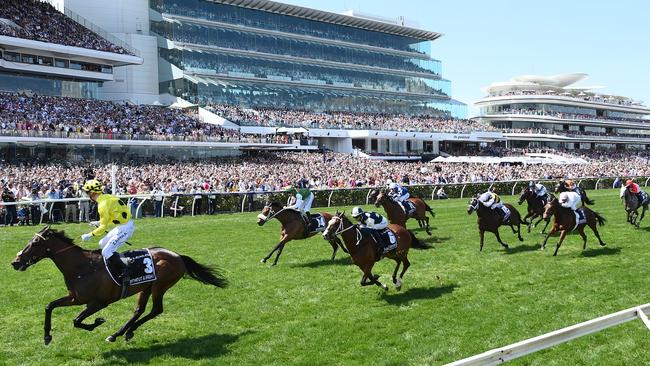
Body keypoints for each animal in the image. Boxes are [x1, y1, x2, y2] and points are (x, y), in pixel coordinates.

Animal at [8, 224, 228, 344]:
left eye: (35, 243)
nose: (15, 262)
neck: (82, 267)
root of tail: (178, 256)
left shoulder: (98, 302)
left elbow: (77, 321)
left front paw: (97, 322)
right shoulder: (75, 298)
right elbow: (49, 306)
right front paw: (46, 337)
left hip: (160, 286)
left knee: (156, 310)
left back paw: (122, 332)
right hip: (146, 287)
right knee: (140, 310)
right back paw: (121, 333)